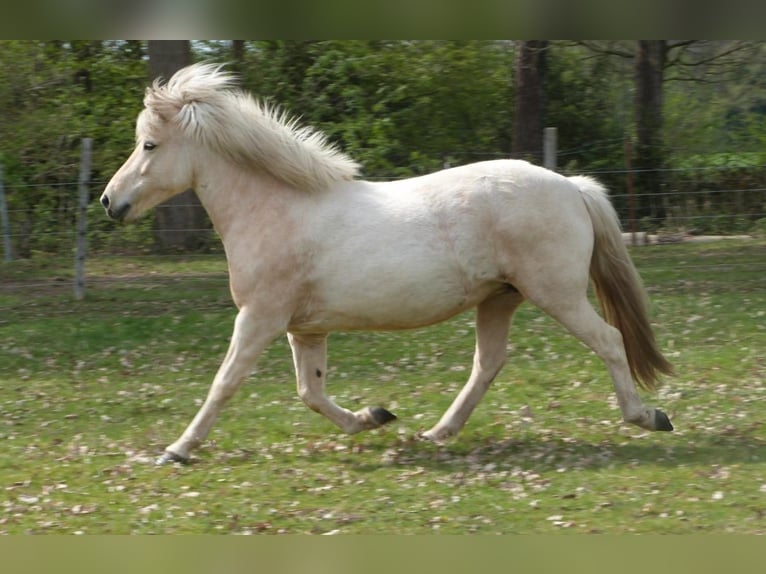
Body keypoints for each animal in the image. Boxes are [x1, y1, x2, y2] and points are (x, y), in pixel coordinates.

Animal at [100, 63, 674, 465]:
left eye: (149, 144)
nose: (110, 202)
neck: (278, 209)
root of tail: (572, 187)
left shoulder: (259, 319)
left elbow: (225, 382)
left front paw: (177, 450)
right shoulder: (303, 329)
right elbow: (310, 392)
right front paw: (373, 417)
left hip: (556, 294)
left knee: (609, 341)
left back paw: (647, 416)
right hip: (499, 299)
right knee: (487, 364)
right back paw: (438, 432)